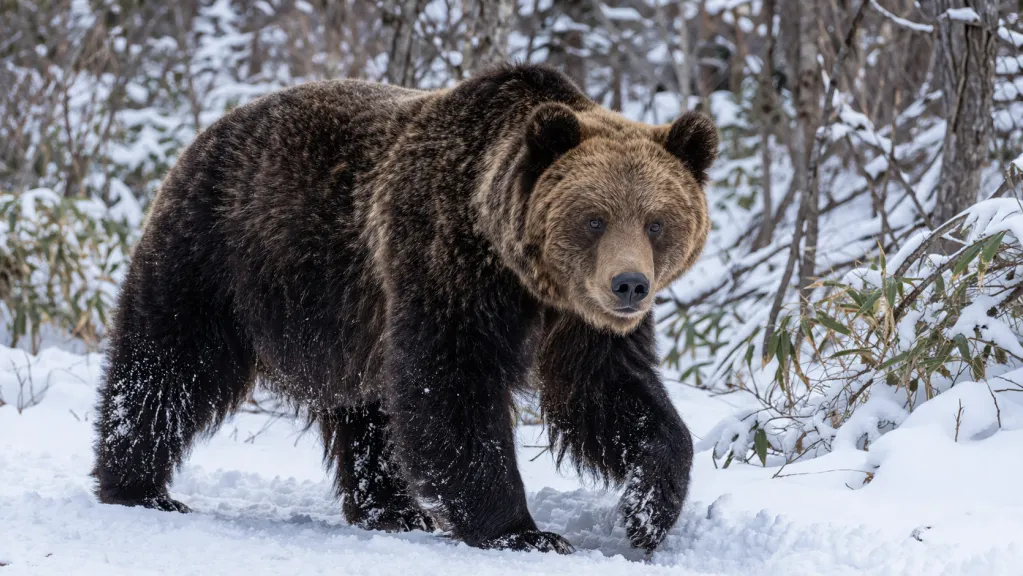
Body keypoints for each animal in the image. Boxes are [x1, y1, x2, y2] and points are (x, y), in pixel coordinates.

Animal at [92, 63, 717, 554]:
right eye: (594, 219)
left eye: (656, 222)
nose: (629, 285)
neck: (522, 274)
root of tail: (205, 134)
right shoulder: (445, 262)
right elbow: (452, 387)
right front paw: (523, 530)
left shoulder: (578, 322)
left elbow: (611, 394)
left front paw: (647, 513)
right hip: (220, 258)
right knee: (169, 365)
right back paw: (139, 487)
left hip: (342, 319)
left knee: (369, 408)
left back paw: (392, 508)